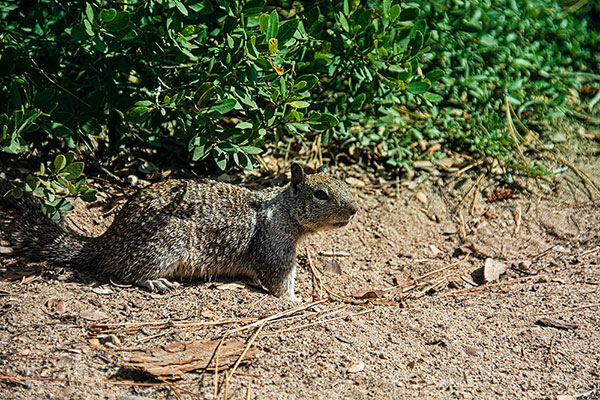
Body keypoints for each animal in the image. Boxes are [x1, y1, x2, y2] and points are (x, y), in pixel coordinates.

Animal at [1, 162, 356, 300]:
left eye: (342, 182)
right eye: (320, 194)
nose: (354, 209)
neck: (281, 210)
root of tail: (105, 242)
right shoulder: (273, 246)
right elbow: (279, 279)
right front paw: (295, 299)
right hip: (165, 245)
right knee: (124, 272)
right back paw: (155, 281)